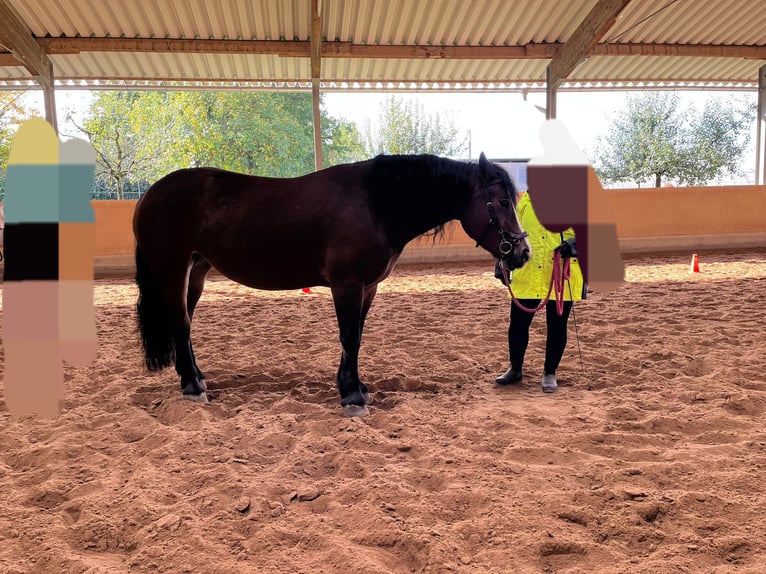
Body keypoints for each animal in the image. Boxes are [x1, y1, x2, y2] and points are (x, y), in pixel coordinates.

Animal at [132, 151, 532, 416]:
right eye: (500, 202)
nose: (522, 252)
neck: (377, 205)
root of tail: (150, 195)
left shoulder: (367, 287)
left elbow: (356, 336)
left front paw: (356, 387)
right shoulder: (347, 285)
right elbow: (349, 337)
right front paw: (352, 397)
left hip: (196, 272)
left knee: (182, 324)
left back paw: (196, 378)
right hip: (172, 271)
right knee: (181, 324)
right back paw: (192, 388)